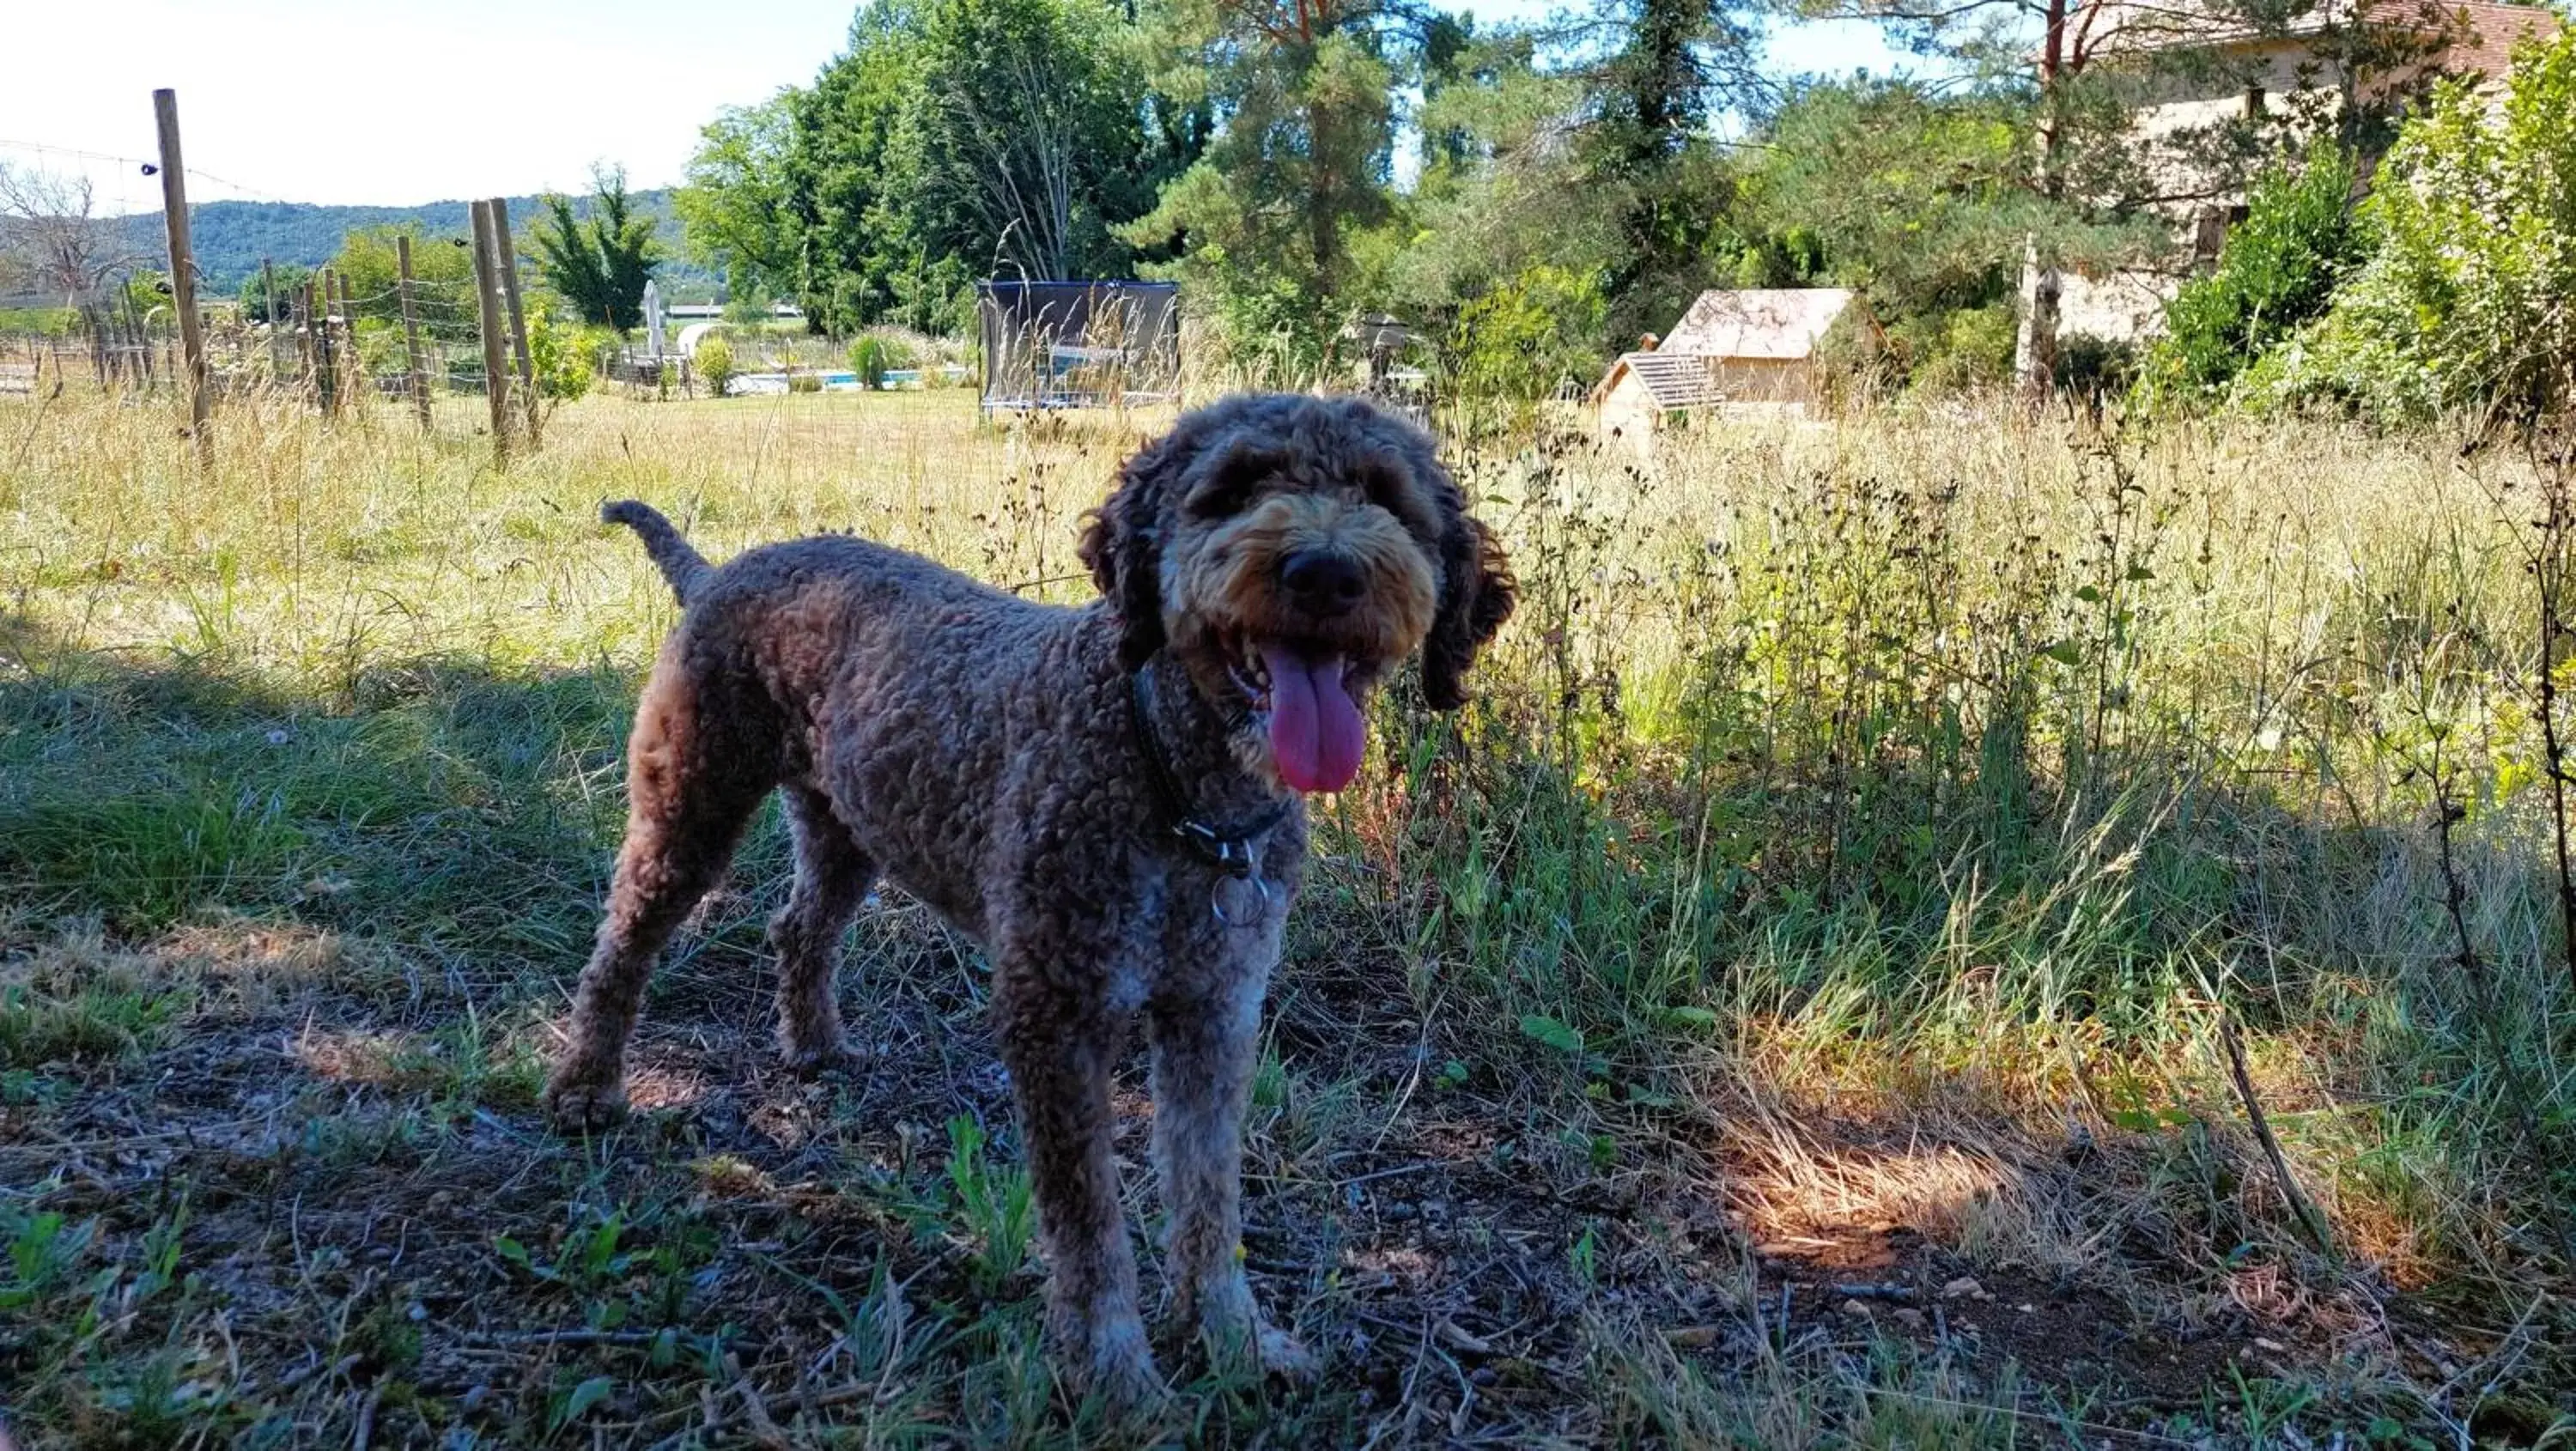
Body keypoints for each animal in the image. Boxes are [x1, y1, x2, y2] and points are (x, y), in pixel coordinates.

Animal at [544, 394, 1504, 1412]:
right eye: (1236, 485)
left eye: (1386, 495)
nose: (1324, 571)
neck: (1174, 781)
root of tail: (725, 568)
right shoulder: (1058, 1018)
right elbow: (1090, 1228)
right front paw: (1117, 1376)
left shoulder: (1215, 1013)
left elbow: (1209, 1195)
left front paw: (1234, 1339)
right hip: (691, 800)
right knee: (623, 944)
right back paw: (586, 1087)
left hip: (849, 824)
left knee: (798, 927)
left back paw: (815, 1044)